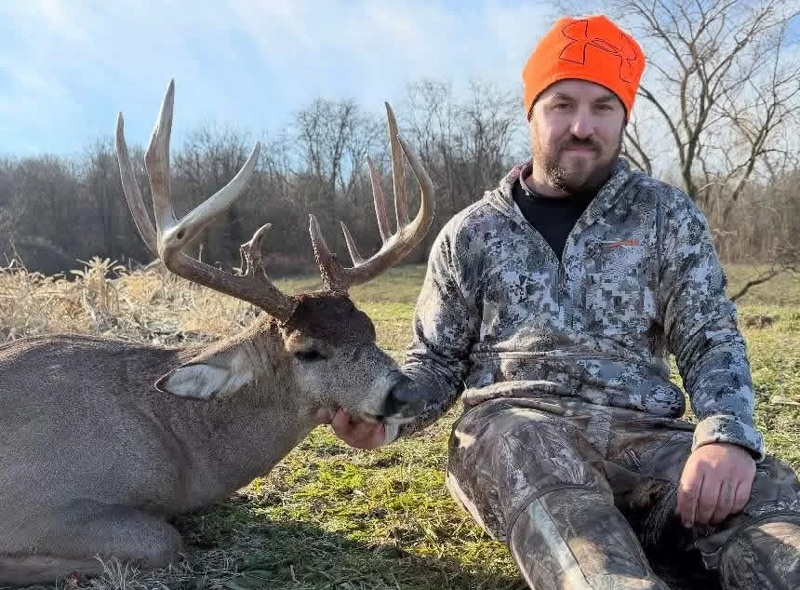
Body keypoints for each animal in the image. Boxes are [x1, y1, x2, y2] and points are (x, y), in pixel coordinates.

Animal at [0, 81, 435, 586]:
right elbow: (164, 539)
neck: (179, 449)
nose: (407, 392)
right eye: (306, 351)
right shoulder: (34, 502)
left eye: (369, 328)